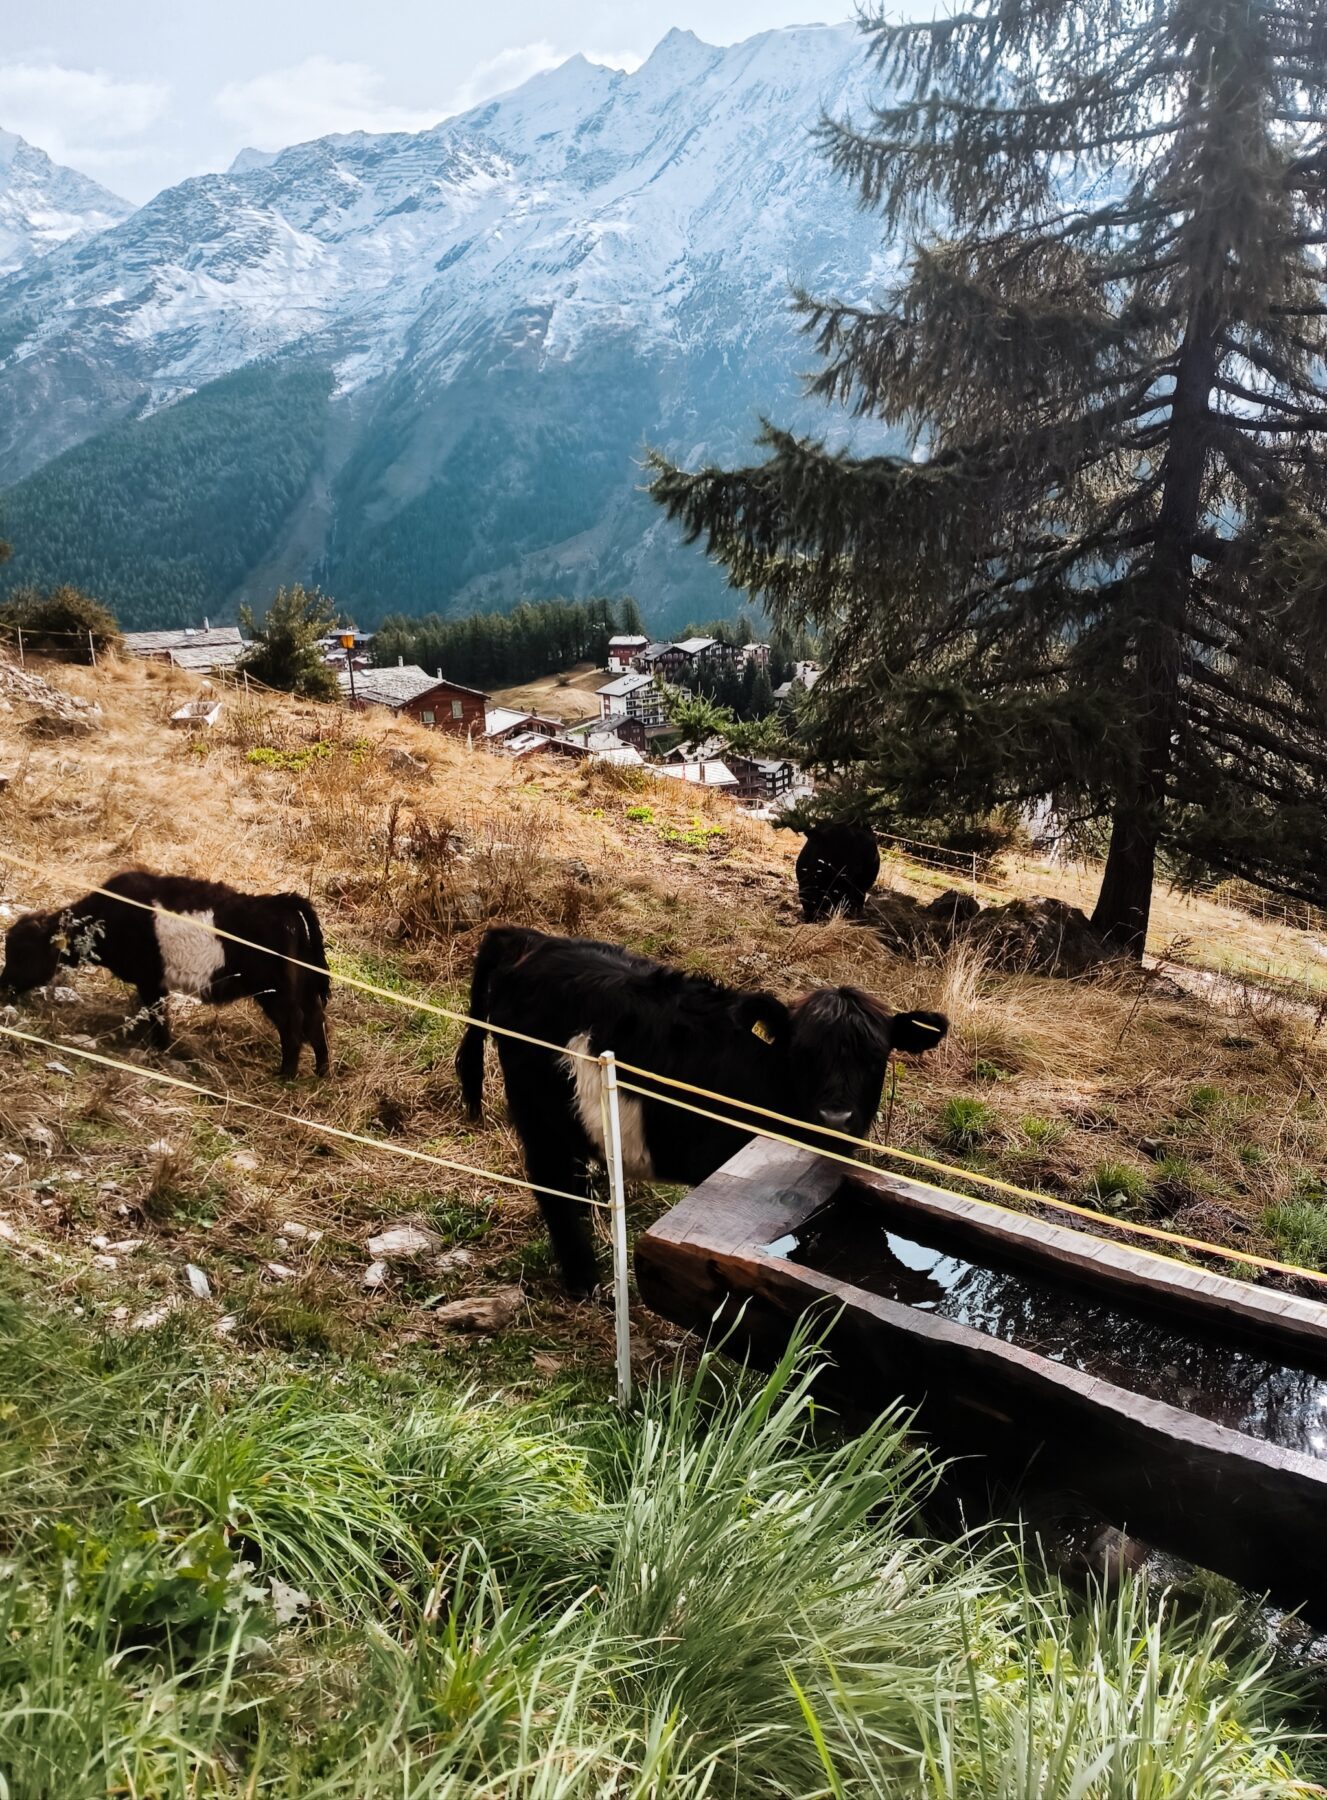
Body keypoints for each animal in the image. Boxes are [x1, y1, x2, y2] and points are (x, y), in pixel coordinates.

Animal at [0, 867, 331, 1072]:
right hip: (304, 988)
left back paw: (285, 1075)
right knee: (316, 1023)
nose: (4, 988)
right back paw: (320, 1072)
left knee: (293, 1025)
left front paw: (158, 1050)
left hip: (275, 992)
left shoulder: (151, 981)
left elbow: (158, 1018)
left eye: (24, 953)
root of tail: (283, 905)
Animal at [455, 928, 943, 1296]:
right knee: (552, 1186)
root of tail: (534, 940)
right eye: (802, 1053)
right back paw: (584, 1282)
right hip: (538, 1117)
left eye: (875, 1057)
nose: (835, 1118)